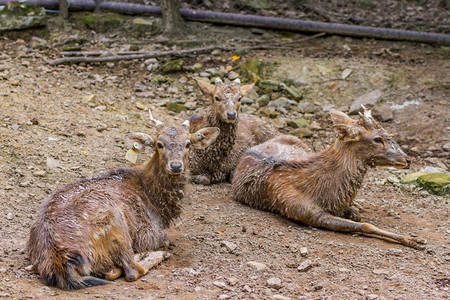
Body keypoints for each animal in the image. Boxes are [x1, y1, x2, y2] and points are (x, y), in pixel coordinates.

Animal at [26, 110, 220, 290]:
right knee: (132, 270)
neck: (156, 202)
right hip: (115, 222)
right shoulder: (149, 234)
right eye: (159, 144)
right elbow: (164, 241)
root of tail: (58, 259)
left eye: (188, 144)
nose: (176, 166)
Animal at [234, 106, 428, 250]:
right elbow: (366, 225)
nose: (408, 159)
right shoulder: (305, 212)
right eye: (378, 139)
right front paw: (415, 240)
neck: (328, 194)